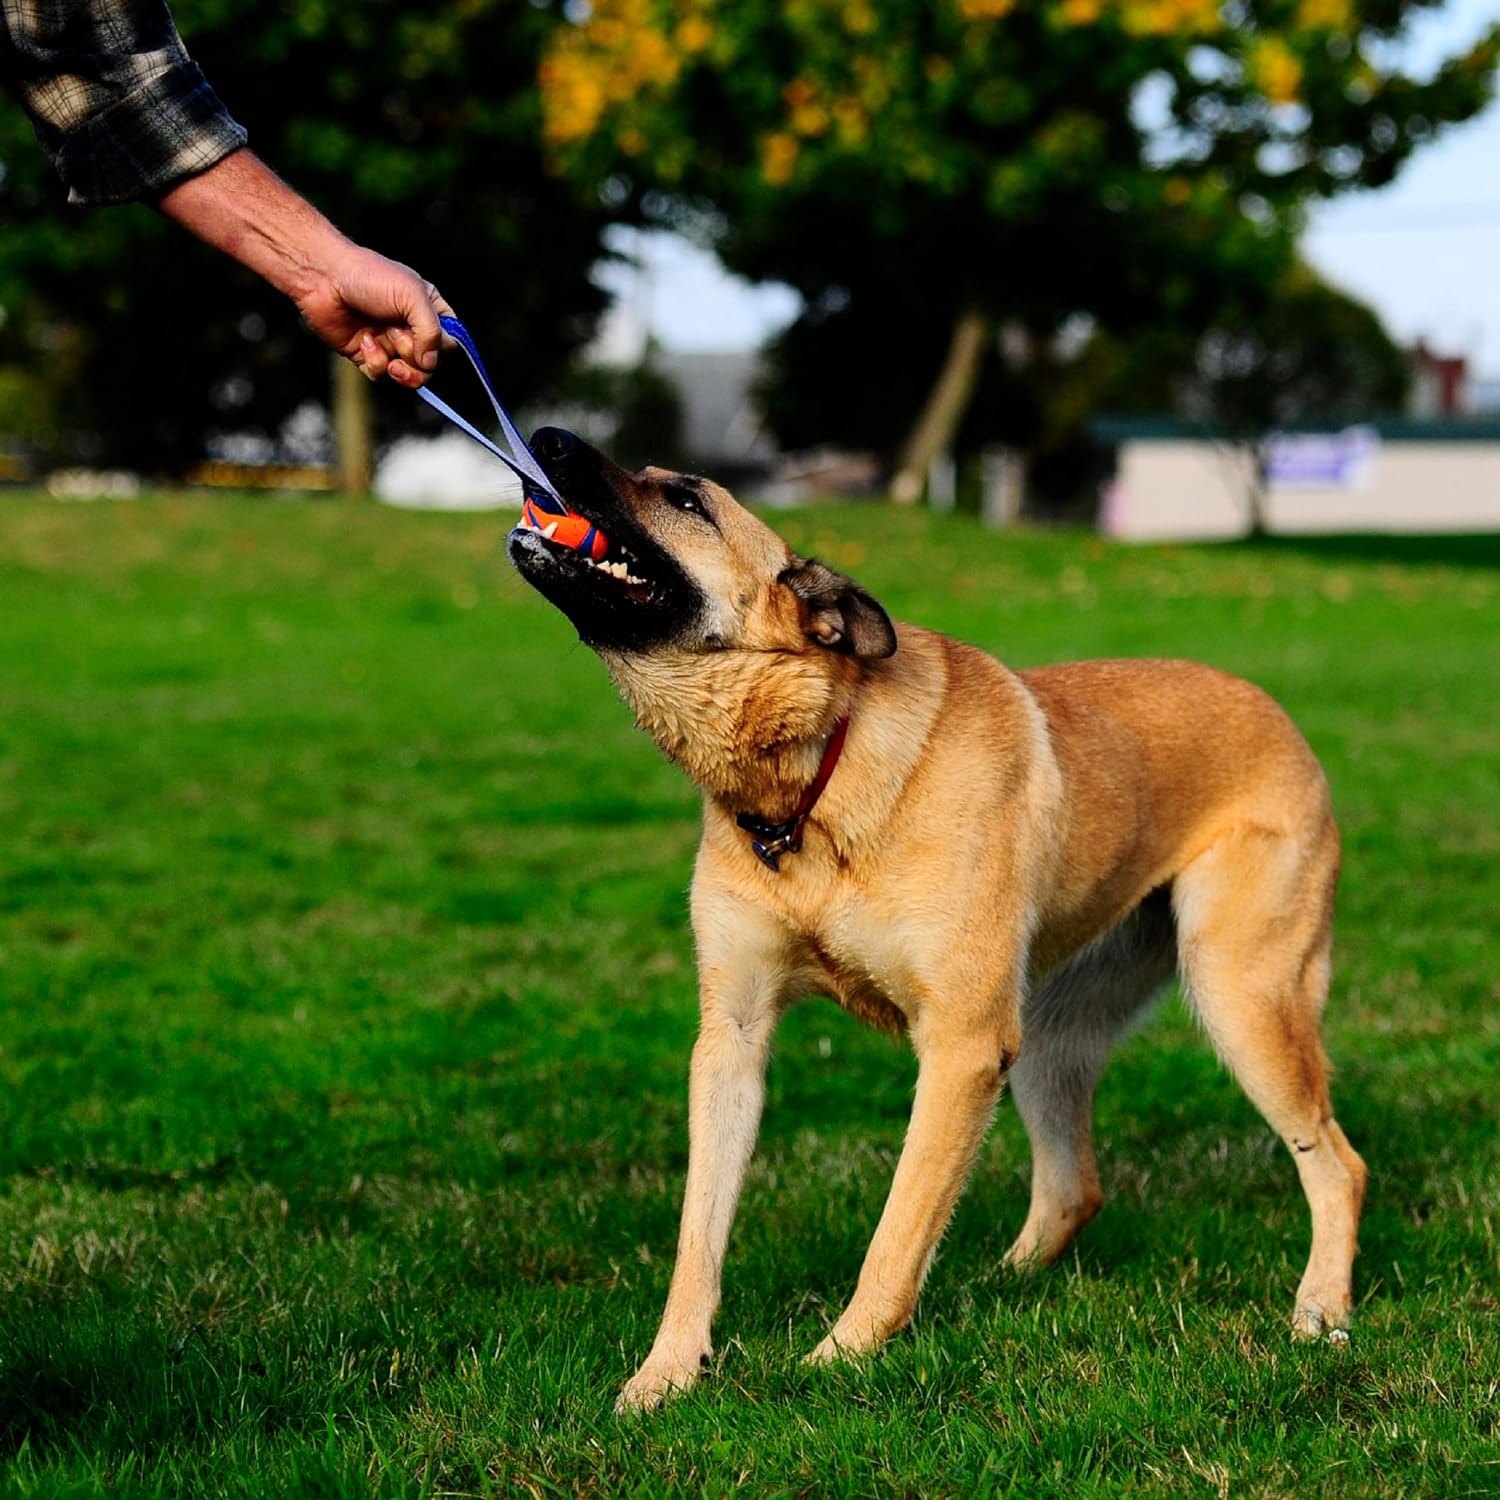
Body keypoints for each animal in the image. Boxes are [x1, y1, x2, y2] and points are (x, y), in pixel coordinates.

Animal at [510, 432, 1368, 1404]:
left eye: (689, 501)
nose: (549, 440)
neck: (815, 776)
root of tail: (1280, 717)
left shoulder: (960, 1046)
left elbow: (896, 1229)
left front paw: (838, 1361)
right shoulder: (732, 1037)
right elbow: (700, 1236)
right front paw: (665, 1376)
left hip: (1241, 997)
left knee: (1338, 1165)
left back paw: (1321, 1308)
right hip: (1049, 1036)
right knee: (1074, 1188)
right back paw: (1002, 1282)